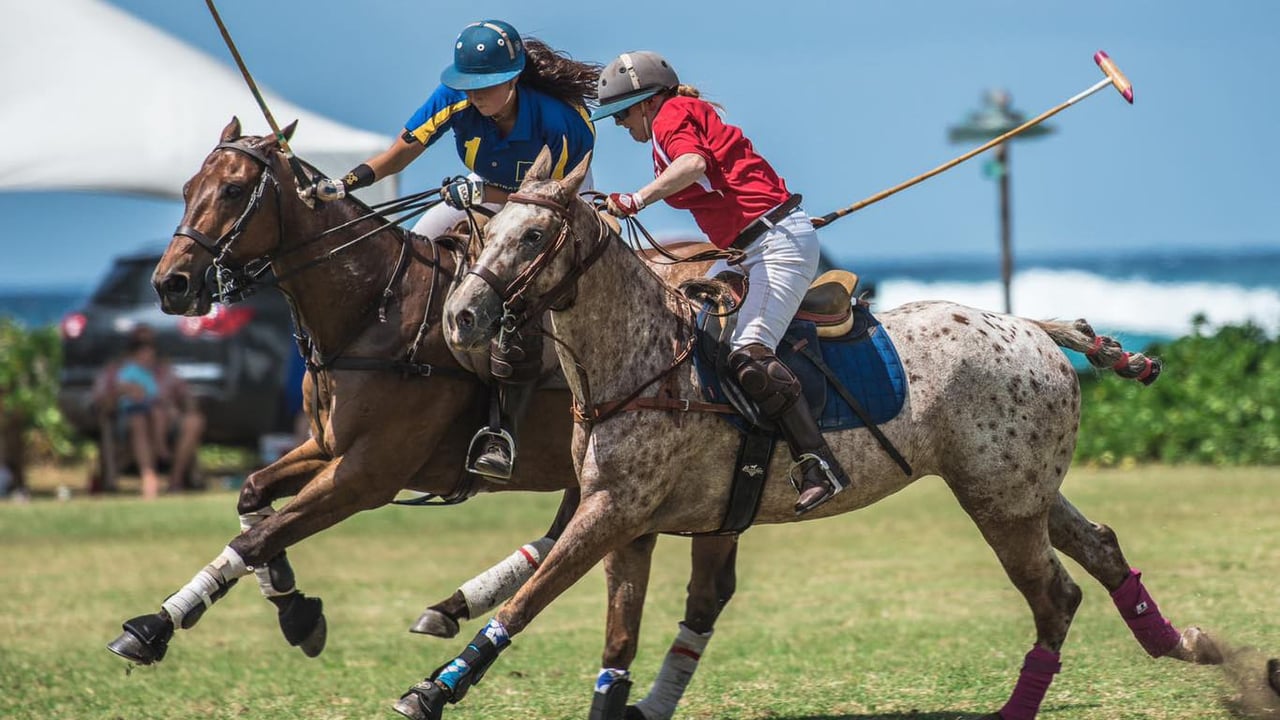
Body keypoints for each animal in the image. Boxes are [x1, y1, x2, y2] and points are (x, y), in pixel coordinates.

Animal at [391, 147, 1280, 717]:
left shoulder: (613, 510)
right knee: (1101, 548)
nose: (462, 317)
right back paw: (1194, 646)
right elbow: (615, 643)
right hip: (1022, 489)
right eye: (486, 233)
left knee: (1056, 594)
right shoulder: (628, 522)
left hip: (998, 503)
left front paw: (433, 688)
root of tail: (1031, 324)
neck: (639, 358)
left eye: (534, 236)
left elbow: (534, 599)